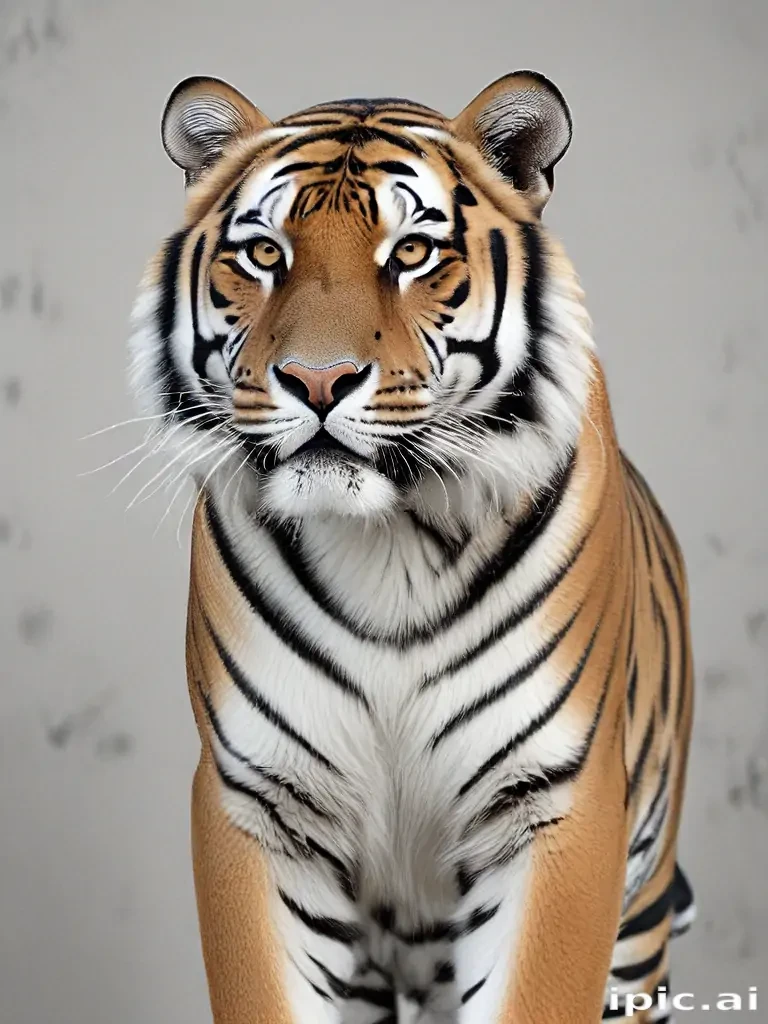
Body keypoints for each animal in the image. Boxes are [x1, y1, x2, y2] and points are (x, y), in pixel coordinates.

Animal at [128, 70, 696, 1023]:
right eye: (265, 254)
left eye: (414, 254)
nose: (318, 380)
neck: (388, 538)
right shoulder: (258, 802)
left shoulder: (556, 801)